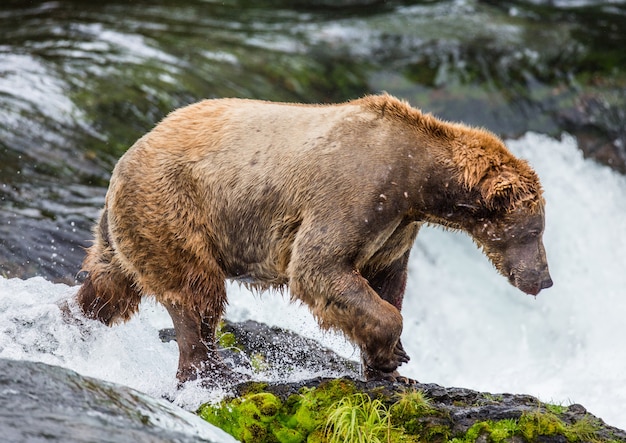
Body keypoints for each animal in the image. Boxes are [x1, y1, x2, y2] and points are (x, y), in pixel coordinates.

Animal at [74, 93, 552, 386]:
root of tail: (125, 158)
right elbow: (320, 267)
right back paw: (211, 371)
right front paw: (396, 356)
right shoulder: (355, 193)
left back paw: (74, 320)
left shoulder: (396, 227)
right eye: (536, 230)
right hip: (175, 209)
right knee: (196, 293)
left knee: (110, 286)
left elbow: (387, 281)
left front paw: (391, 369)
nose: (544, 279)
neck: (418, 182)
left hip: (127, 228)